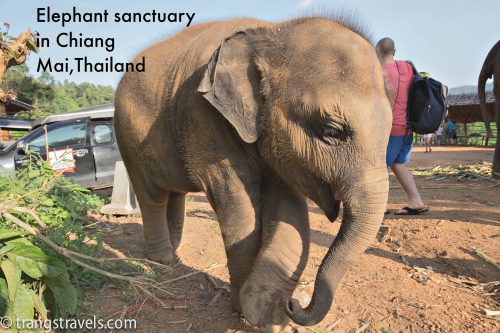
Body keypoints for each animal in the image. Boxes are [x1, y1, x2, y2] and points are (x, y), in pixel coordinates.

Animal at [115, 16, 392, 332]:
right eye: (331, 131)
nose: (294, 304)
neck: (271, 31)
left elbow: (288, 209)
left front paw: (270, 316)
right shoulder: (202, 117)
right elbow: (239, 210)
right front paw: (245, 309)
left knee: (174, 194)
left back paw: (174, 256)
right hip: (127, 136)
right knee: (153, 196)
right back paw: (162, 261)